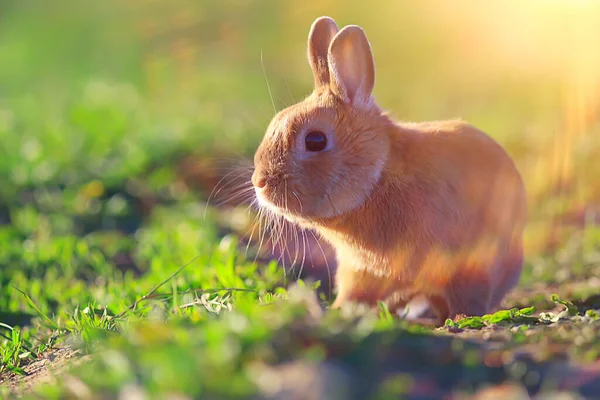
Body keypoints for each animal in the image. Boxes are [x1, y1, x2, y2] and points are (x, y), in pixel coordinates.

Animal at [251, 16, 528, 324]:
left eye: (315, 141)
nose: (259, 182)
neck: (379, 175)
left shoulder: (464, 261)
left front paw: (460, 320)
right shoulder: (360, 269)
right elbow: (354, 294)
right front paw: (337, 312)